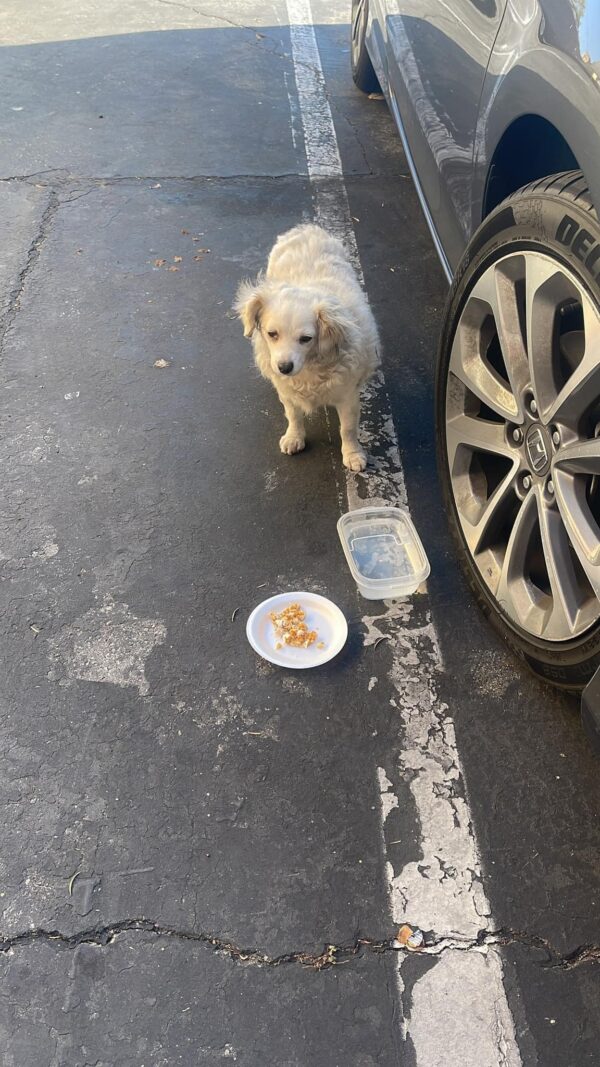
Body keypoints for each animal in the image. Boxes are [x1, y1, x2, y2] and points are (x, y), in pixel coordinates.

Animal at [233, 223, 377, 469]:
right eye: (272, 334)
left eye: (306, 339)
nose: (284, 367)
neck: (310, 368)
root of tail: (307, 228)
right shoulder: (287, 392)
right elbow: (293, 416)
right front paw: (294, 437)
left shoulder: (348, 396)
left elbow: (348, 429)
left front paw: (352, 454)